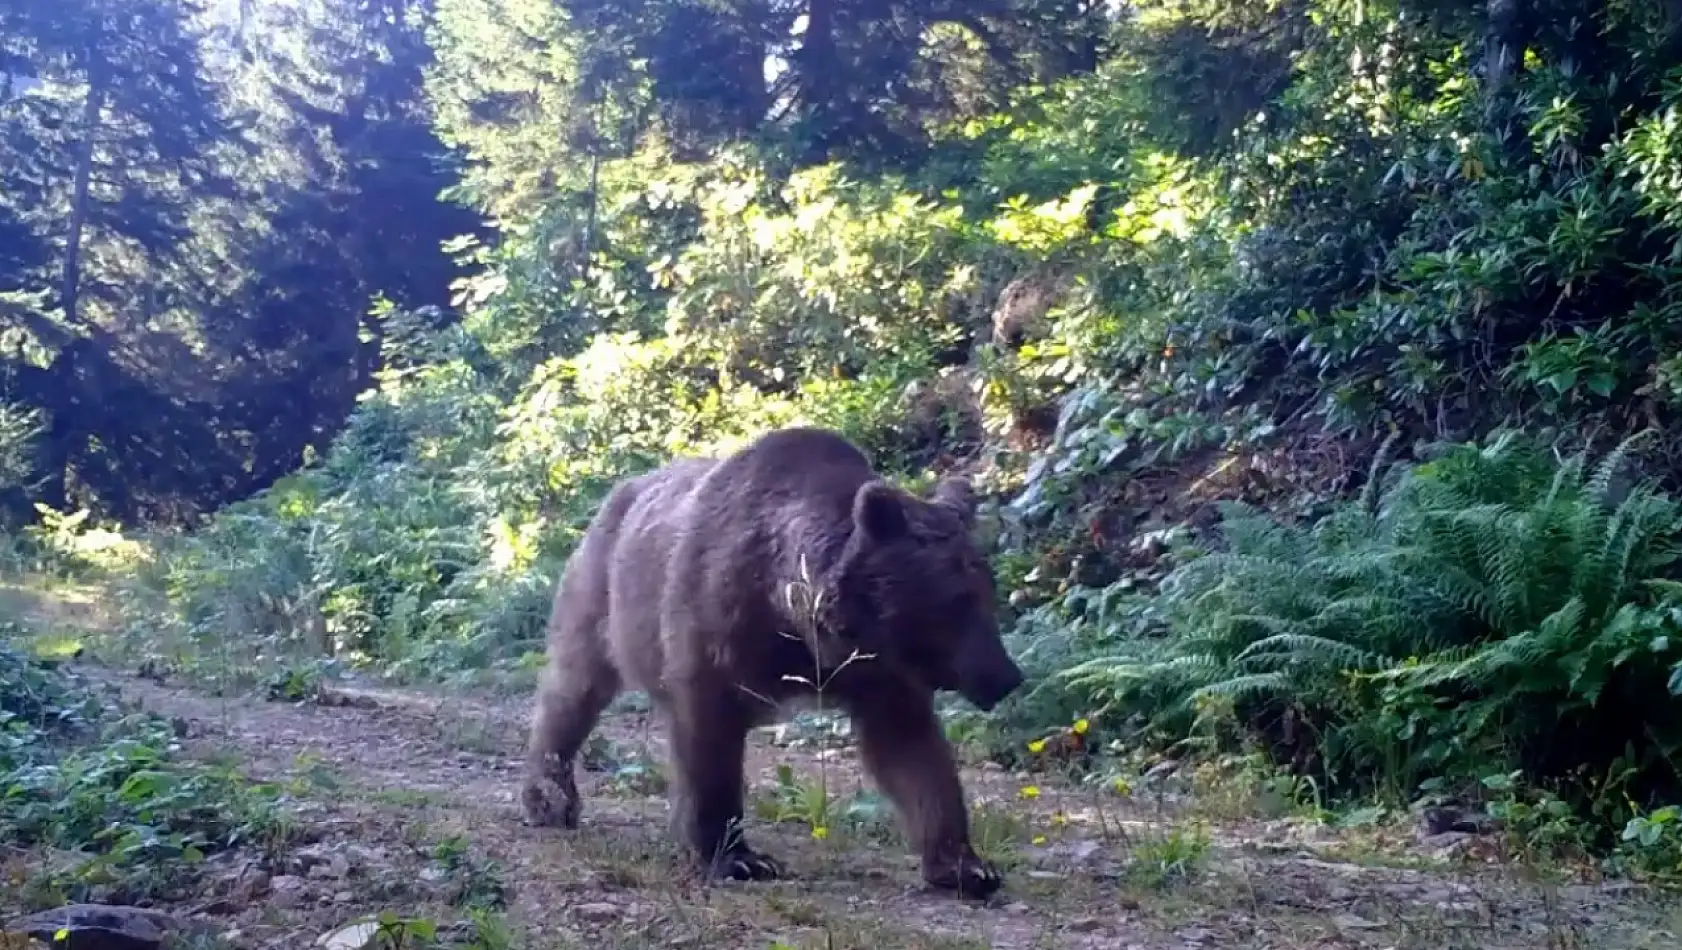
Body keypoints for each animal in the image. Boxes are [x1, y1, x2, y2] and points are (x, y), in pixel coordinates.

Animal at [518, 423, 1022, 894]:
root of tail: (621, 490)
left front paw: (965, 866)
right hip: (603, 589)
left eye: (986, 592)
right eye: (957, 601)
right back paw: (550, 797)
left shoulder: (877, 670)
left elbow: (912, 751)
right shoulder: (715, 626)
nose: (1006, 676)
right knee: (575, 686)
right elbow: (709, 741)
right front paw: (736, 857)